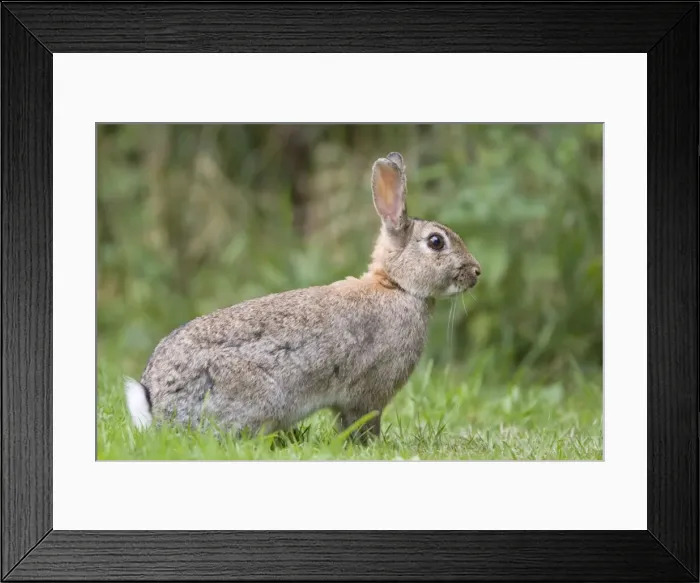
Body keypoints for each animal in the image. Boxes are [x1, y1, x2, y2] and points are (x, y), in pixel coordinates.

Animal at [124, 151, 481, 442]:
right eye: (436, 242)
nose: (476, 272)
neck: (396, 285)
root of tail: (157, 404)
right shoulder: (368, 393)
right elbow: (362, 421)